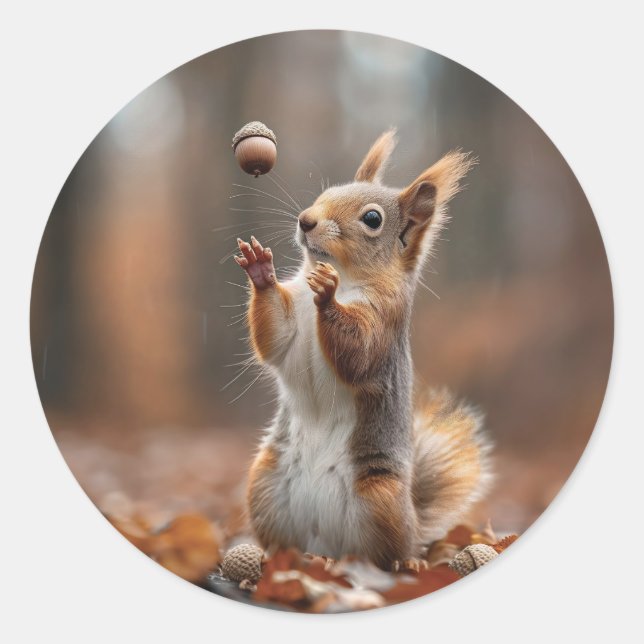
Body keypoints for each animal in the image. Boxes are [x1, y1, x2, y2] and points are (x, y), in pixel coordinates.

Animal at [234, 130, 492, 571]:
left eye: (373, 219)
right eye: (326, 193)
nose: (305, 220)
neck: (348, 276)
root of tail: (325, 544)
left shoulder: (384, 322)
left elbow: (359, 354)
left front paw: (327, 295)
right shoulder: (291, 319)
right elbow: (276, 338)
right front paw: (260, 272)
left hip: (380, 499)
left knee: (386, 552)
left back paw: (404, 563)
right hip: (263, 485)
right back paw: (280, 558)